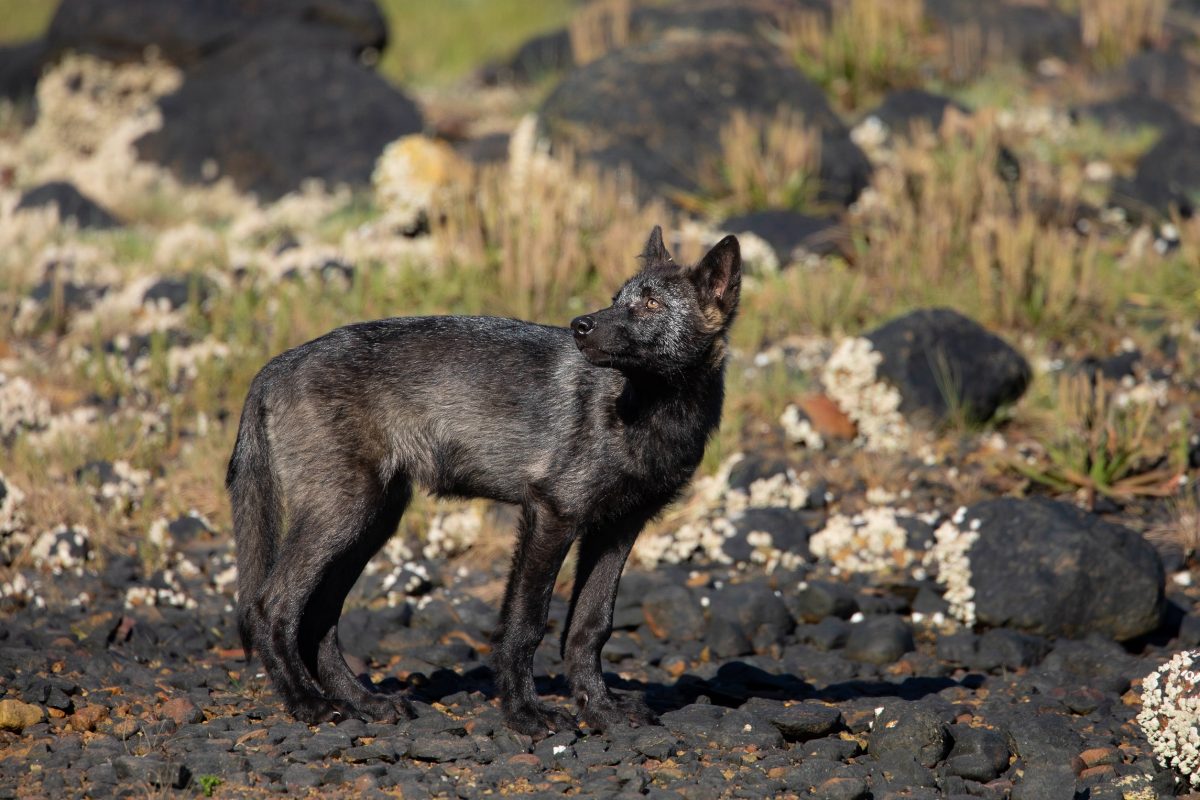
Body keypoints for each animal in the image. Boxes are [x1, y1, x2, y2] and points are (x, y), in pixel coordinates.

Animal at [226, 226, 741, 736]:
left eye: (650, 304)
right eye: (617, 299)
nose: (580, 326)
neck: (647, 409)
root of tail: (276, 365)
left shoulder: (617, 530)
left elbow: (591, 626)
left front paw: (601, 710)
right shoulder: (550, 514)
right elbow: (525, 623)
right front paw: (525, 713)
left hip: (371, 523)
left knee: (318, 619)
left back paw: (364, 703)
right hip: (344, 516)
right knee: (270, 606)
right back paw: (307, 703)